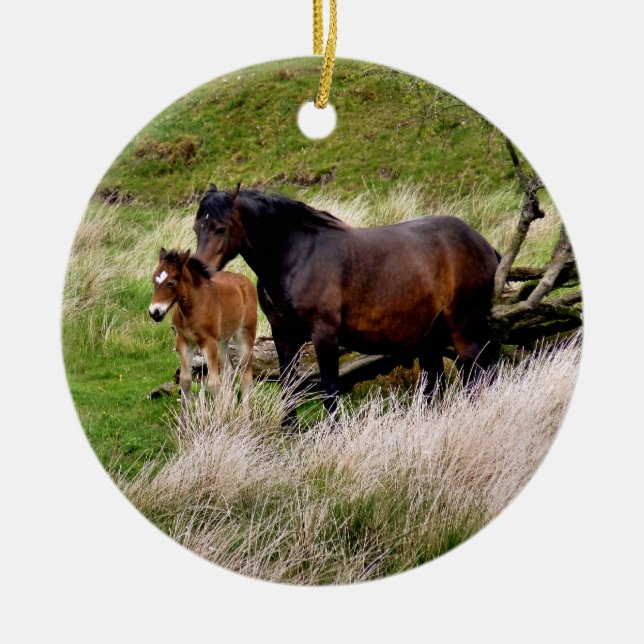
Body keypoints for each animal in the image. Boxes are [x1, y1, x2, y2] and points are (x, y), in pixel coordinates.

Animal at [149, 248, 257, 411]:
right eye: (154, 280)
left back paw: (245, 415)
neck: (192, 307)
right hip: (222, 342)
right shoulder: (184, 341)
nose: (154, 312)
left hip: (245, 336)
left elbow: (213, 384)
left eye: (171, 283)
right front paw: (184, 419)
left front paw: (219, 417)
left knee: (245, 376)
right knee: (229, 372)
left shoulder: (208, 343)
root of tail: (245, 280)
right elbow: (185, 381)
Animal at [193, 184, 500, 425]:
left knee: (476, 374)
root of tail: (484, 245)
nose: (200, 269)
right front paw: (289, 430)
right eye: (197, 227)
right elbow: (289, 384)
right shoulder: (284, 335)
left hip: (463, 329)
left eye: (220, 228)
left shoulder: (324, 335)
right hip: (431, 338)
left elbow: (329, 387)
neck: (297, 256)